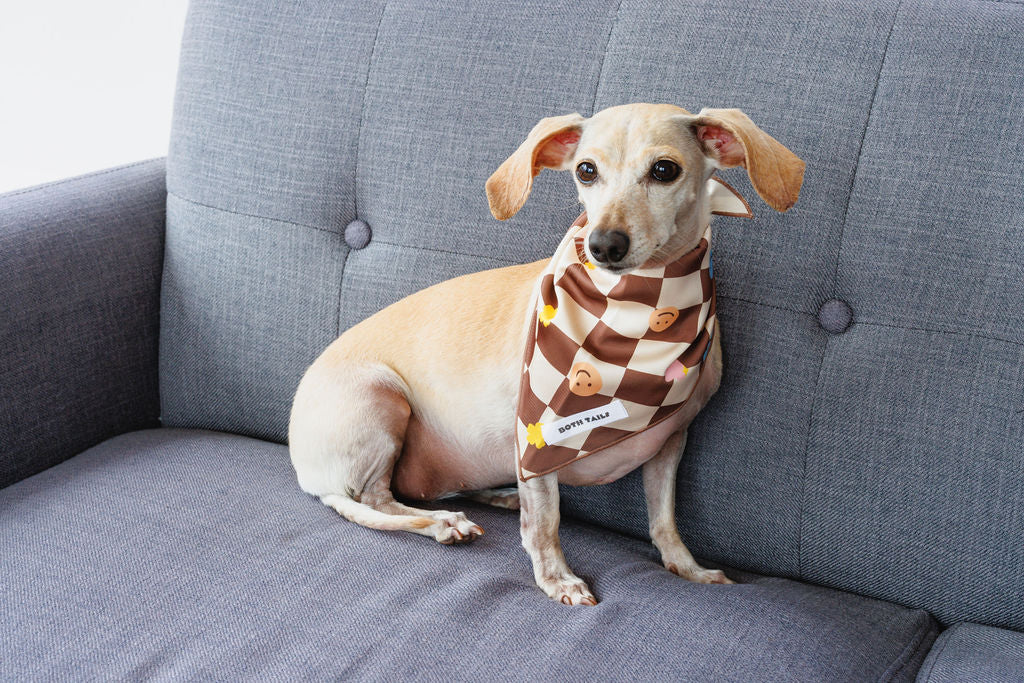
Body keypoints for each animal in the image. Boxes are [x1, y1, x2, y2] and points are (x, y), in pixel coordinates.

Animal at [286, 101, 798, 602]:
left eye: (664, 170)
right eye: (586, 170)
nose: (603, 245)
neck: (642, 312)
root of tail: (306, 470)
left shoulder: (671, 441)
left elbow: (664, 519)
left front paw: (687, 568)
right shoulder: (538, 437)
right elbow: (545, 522)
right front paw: (558, 579)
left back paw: (495, 497)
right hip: (382, 395)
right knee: (373, 501)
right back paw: (443, 523)